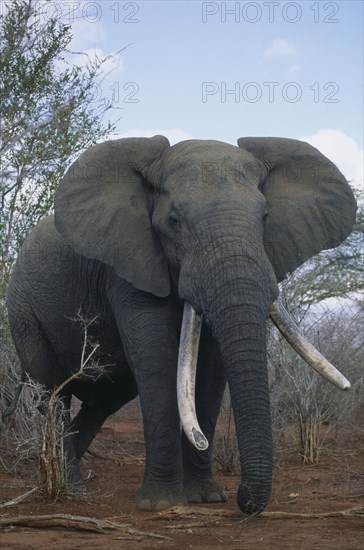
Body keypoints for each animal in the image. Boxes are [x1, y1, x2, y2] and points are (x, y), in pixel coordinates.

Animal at [5, 136, 356, 516]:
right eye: (174, 220)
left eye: (264, 217)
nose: (244, 502)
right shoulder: (130, 262)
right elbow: (157, 361)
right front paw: (161, 504)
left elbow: (212, 371)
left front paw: (205, 498)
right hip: (23, 310)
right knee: (51, 392)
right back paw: (72, 488)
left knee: (102, 402)